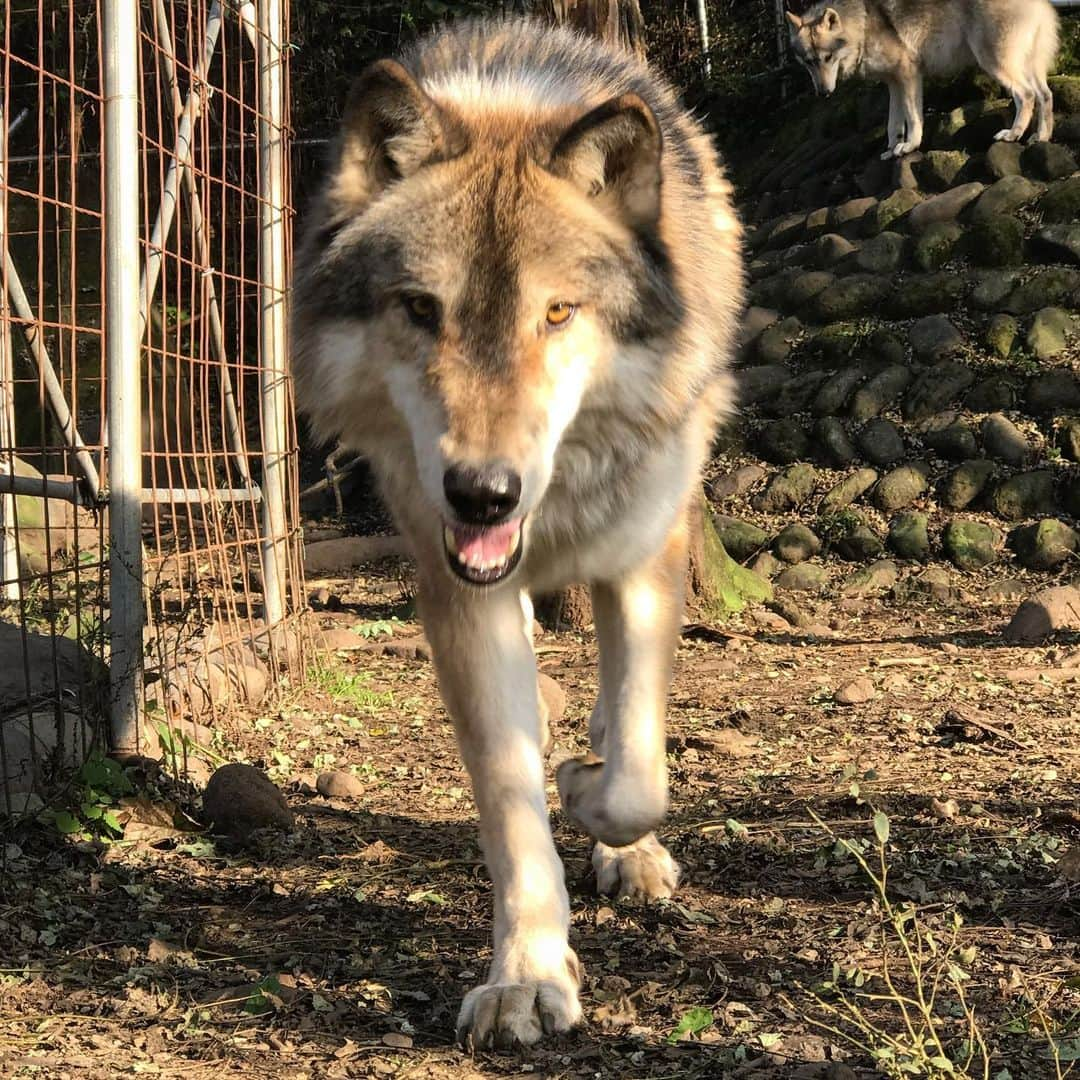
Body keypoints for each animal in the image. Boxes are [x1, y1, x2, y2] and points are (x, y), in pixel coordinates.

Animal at [291, 14, 747, 1045]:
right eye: (422, 309)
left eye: (559, 312)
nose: (483, 495)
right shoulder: (456, 586)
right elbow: (507, 796)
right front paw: (529, 975)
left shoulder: (643, 556)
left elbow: (636, 771)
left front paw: (588, 793)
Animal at [790, 0, 1058, 158]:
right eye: (809, 62)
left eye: (828, 57)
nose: (823, 93)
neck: (862, 25)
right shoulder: (893, 84)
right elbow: (893, 124)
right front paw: (891, 150)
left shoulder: (908, 74)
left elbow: (913, 117)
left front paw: (910, 146)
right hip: (1027, 67)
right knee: (1045, 95)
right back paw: (1041, 137)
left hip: (994, 63)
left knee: (1026, 95)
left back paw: (1013, 134)